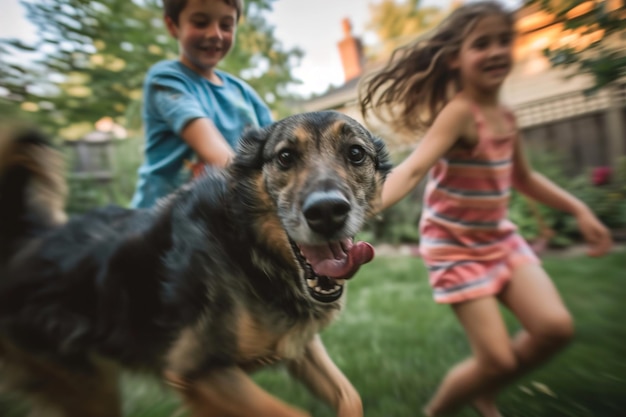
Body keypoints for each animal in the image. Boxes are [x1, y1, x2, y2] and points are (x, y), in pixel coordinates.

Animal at [0, 112, 390, 416]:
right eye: (285, 157)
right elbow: (293, 413)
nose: (327, 211)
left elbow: (350, 398)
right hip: (89, 389)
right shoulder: (198, 371)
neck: (247, 247)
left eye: (356, 153)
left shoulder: (298, 345)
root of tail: (30, 240)